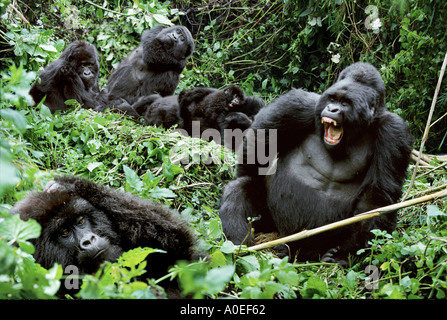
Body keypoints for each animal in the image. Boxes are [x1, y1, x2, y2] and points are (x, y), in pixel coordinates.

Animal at [219, 62, 414, 262]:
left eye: (345, 103)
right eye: (332, 99)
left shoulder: (394, 131)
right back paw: (240, 246)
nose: (332, 109)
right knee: (239, 189)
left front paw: (343, 255)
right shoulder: (298, 105)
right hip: (269, 223)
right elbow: (257, 149)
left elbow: (376, 201)